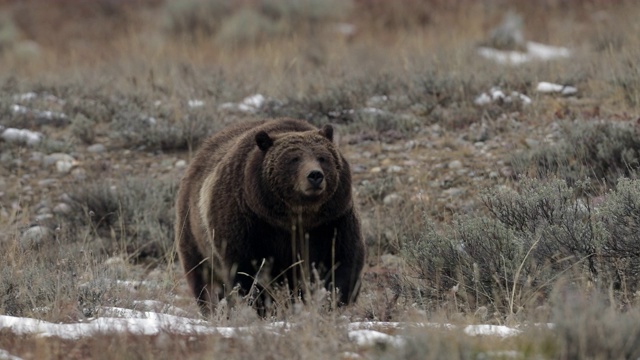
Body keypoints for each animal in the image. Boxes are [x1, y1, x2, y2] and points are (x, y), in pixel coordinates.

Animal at [175, 117, 364, 316]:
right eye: (294, 159)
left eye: (322, 157)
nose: (315, 175)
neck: (295, 216)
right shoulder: (249, 223)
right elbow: (247, 270)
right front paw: (263, 305)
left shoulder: (332, 222)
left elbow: (342, 261)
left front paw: (333, 299)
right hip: (194, 234)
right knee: (204, 279)